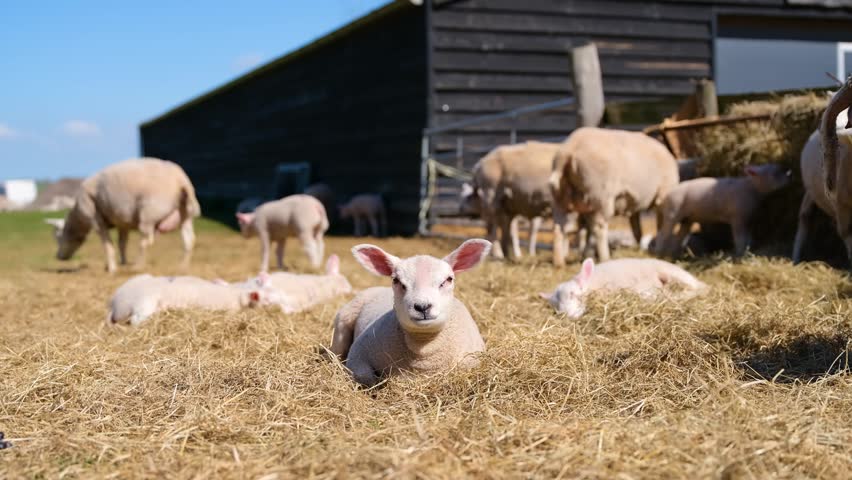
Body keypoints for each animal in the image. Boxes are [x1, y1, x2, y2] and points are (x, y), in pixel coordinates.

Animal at [44, 158, 200, 273]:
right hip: (185, 215)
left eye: (58, 236)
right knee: (189, 240)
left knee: (146, 241)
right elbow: (122, 244)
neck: (78, 217)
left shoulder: (96, 220)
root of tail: (181, 180)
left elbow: (108, 245)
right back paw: (182, 268)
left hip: (149, 214)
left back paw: (137, 266)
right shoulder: (122, 222)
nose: (58, 256)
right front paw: (123, 262)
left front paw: (112, 268)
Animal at [329, 239, 491, 387]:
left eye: (448, 279)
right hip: (342, 323)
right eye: (396, 280)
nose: (422, 306)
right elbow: (365, 378)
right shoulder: (358, 353)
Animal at [550, 127, 679, 265]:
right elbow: (660, 224)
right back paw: (604, 257)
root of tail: (568, 150)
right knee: (599, 228)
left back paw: (560, 262)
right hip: (601, 195)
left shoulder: (634, 204)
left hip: (562, 197)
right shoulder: (663, 195)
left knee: (559, 227)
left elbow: (637, 228)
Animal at [655, 164, 792, 258]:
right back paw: (659, 254)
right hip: (672, 213)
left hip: (687, 219)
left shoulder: (748, 219)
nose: (790, 175)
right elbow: (740, 238)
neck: (752, 188)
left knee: (680, 237)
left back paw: (675, 256)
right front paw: (740, 254)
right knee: (663, 235)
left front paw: (748, 251)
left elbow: (749, 238)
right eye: (774, 173)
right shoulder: (738, 218)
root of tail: (666, 196)